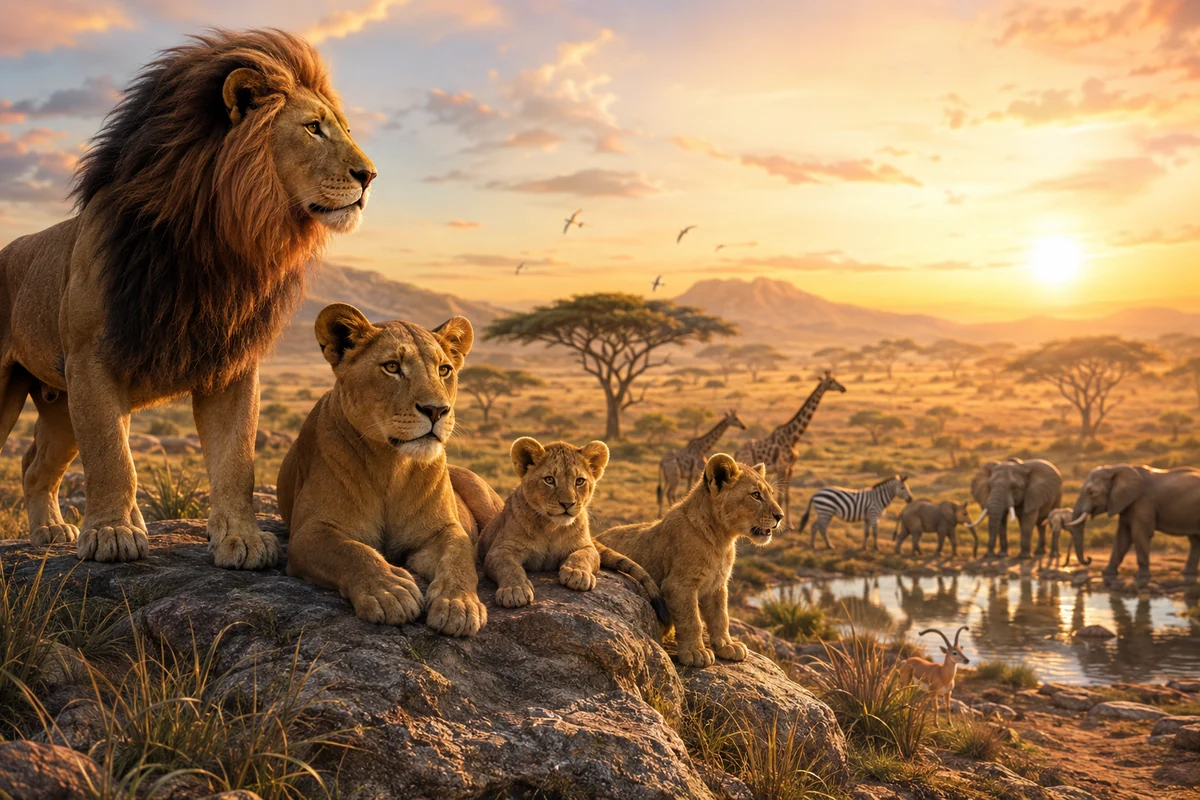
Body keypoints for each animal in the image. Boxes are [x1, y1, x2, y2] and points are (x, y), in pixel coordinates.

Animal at [0, 30, 375, 568]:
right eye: (313, 128)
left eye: (343, 128)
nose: (370, 175)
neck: (215, 242)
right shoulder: (91, 361)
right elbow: (113, 457)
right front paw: (114, 532)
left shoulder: (232, 364)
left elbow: (237, 459)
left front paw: (241, 538)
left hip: (59, 401)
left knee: (34, 466)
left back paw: (50, 531)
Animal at [277, 303, 502, 637]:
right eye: (392, 367)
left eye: (444, 370)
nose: (437, 410)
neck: (392, 465)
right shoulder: (308, 533)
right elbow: (351, 551)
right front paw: (389, 591)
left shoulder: (443, 529)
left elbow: (459, 557)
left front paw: (458, 604)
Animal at [478, 436, 670, 624]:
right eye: (549, 480)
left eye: (579, 481)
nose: (567, 504)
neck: (551, 528)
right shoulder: (500, 549)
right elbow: (509, 567)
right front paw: (514, 590)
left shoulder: (587, 546)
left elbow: (581, 555)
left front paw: (577, 574)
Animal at [598, 453, 783, 667]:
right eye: (755, 495)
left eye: (770, 493)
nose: (780, 516)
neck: (722, 540)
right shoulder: (679, 585)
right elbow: (691, 619)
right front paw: (695, 653)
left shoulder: (717, 585)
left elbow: (721, 616)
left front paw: (727, 646)